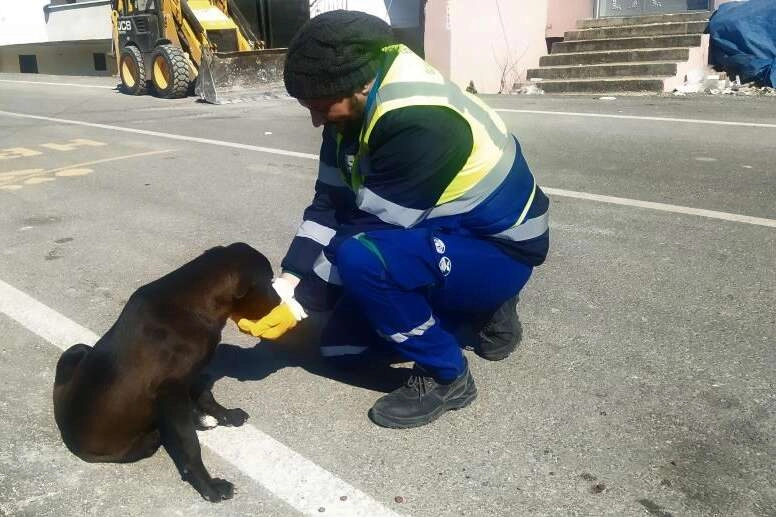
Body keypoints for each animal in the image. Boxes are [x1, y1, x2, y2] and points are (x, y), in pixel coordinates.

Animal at [51, 244, 278, 502]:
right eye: (268, 281)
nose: (281, 301)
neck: (195, 307)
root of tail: (66, 435)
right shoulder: (172, 391)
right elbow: (189, 444)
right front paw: (209, 486)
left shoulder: (191, 372)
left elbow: (206, 395)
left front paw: (225, 415)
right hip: (144, 440)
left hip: (78, 349)